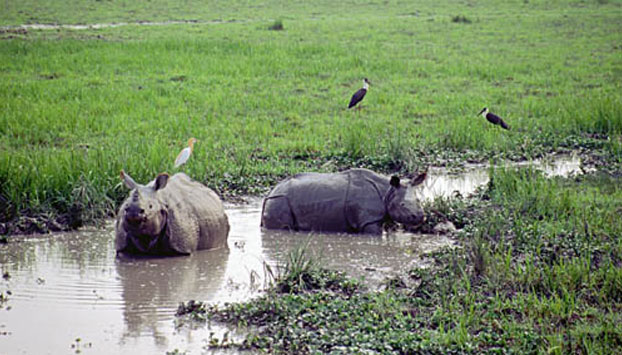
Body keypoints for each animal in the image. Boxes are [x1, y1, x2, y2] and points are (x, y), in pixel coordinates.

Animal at [260, 168, 428, 235]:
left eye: (419, 200)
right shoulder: (368, 220)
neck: (388, 190)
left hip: (279, 199)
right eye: (402, 205)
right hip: (280, 201)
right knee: (283, 227)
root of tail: (270, 192)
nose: (420, 217)